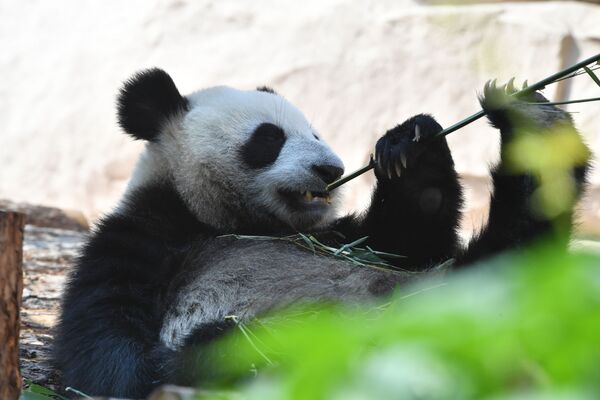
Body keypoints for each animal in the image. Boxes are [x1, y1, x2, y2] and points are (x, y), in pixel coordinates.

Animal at [54, 69, 588, 396]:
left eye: (314, 132)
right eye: (269, 138)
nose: (330, 170)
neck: (226, 221)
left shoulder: (340, 238)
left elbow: (409, 237)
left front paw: (409, 144)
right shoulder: (139, 241)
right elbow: (116, 369)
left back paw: (535, 126)